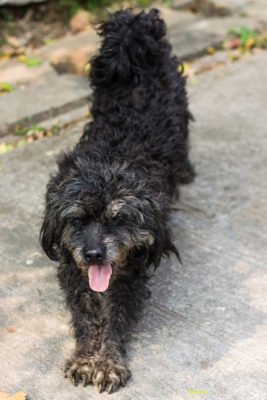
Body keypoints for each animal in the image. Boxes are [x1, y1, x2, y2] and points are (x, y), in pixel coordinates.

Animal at [39, 8, 195, 394]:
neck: (111, 157)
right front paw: (85, 357)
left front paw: (108, 363)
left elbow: (114, 320)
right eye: (77, 219)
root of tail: (135, 25)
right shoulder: (73, 269)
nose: (94, 254)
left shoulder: (131, 273)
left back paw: (186, 172)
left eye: (118, 219)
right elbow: (86, 316)